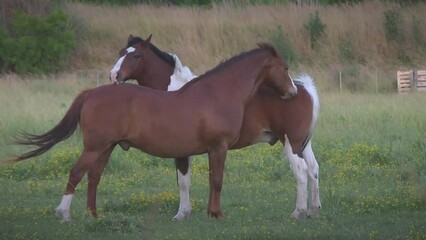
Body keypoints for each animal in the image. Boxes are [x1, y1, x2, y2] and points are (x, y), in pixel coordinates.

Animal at [10, 35, 296, 221]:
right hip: (95, 147)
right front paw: (216, 214)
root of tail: (93, 92)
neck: (218, 92)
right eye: (285, 67)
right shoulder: (218, 148)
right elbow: (216, 181)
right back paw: (65, 214)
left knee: (94, 176)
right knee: (76, 173)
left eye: (135, 55)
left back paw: (94, 215)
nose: (292, 92)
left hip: (106, 148)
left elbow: (197, 181)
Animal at [108, 34, 322, 220]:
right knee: (313, 169)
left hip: (291, 142)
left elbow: (191, 181)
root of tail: (303, 88)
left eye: (136, 55)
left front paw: (185, 213)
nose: (113, 75)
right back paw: (313, 210)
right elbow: (188, 181)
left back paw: (299, 212)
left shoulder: (189, 150)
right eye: (120, 52)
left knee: (301, 170)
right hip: (303, 144)